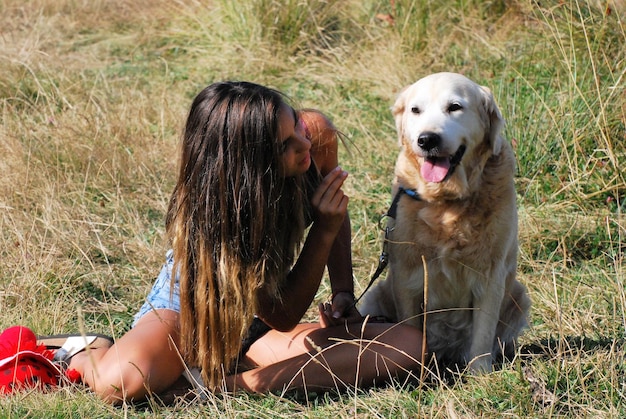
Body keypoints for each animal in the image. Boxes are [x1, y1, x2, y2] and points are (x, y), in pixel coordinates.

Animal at [358, 73, 528, 374]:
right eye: (415, 110)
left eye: (455, 107)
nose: (427, 139)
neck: (446, 202)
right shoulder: (406, 274)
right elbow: (410, 326)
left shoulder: (491, 273)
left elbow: (483, 332)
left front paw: (480, 373)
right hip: (375, 296)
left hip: (520, 295)